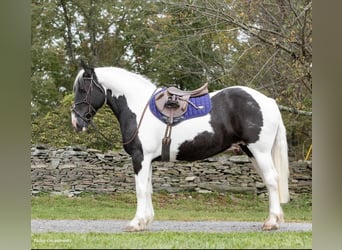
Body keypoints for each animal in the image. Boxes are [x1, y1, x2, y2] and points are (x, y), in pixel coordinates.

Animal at [71, 61, 290, 231]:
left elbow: (140, 189)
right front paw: (145, 221)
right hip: (251, 151)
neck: (137, 107)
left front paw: (135, 223)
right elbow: (148, 189)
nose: (76, 122)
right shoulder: (147, 160)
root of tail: (268, 101)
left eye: (82, 89)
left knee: (271, 180)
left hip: (259, 151)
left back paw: (271, 222)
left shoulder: (140, 157)